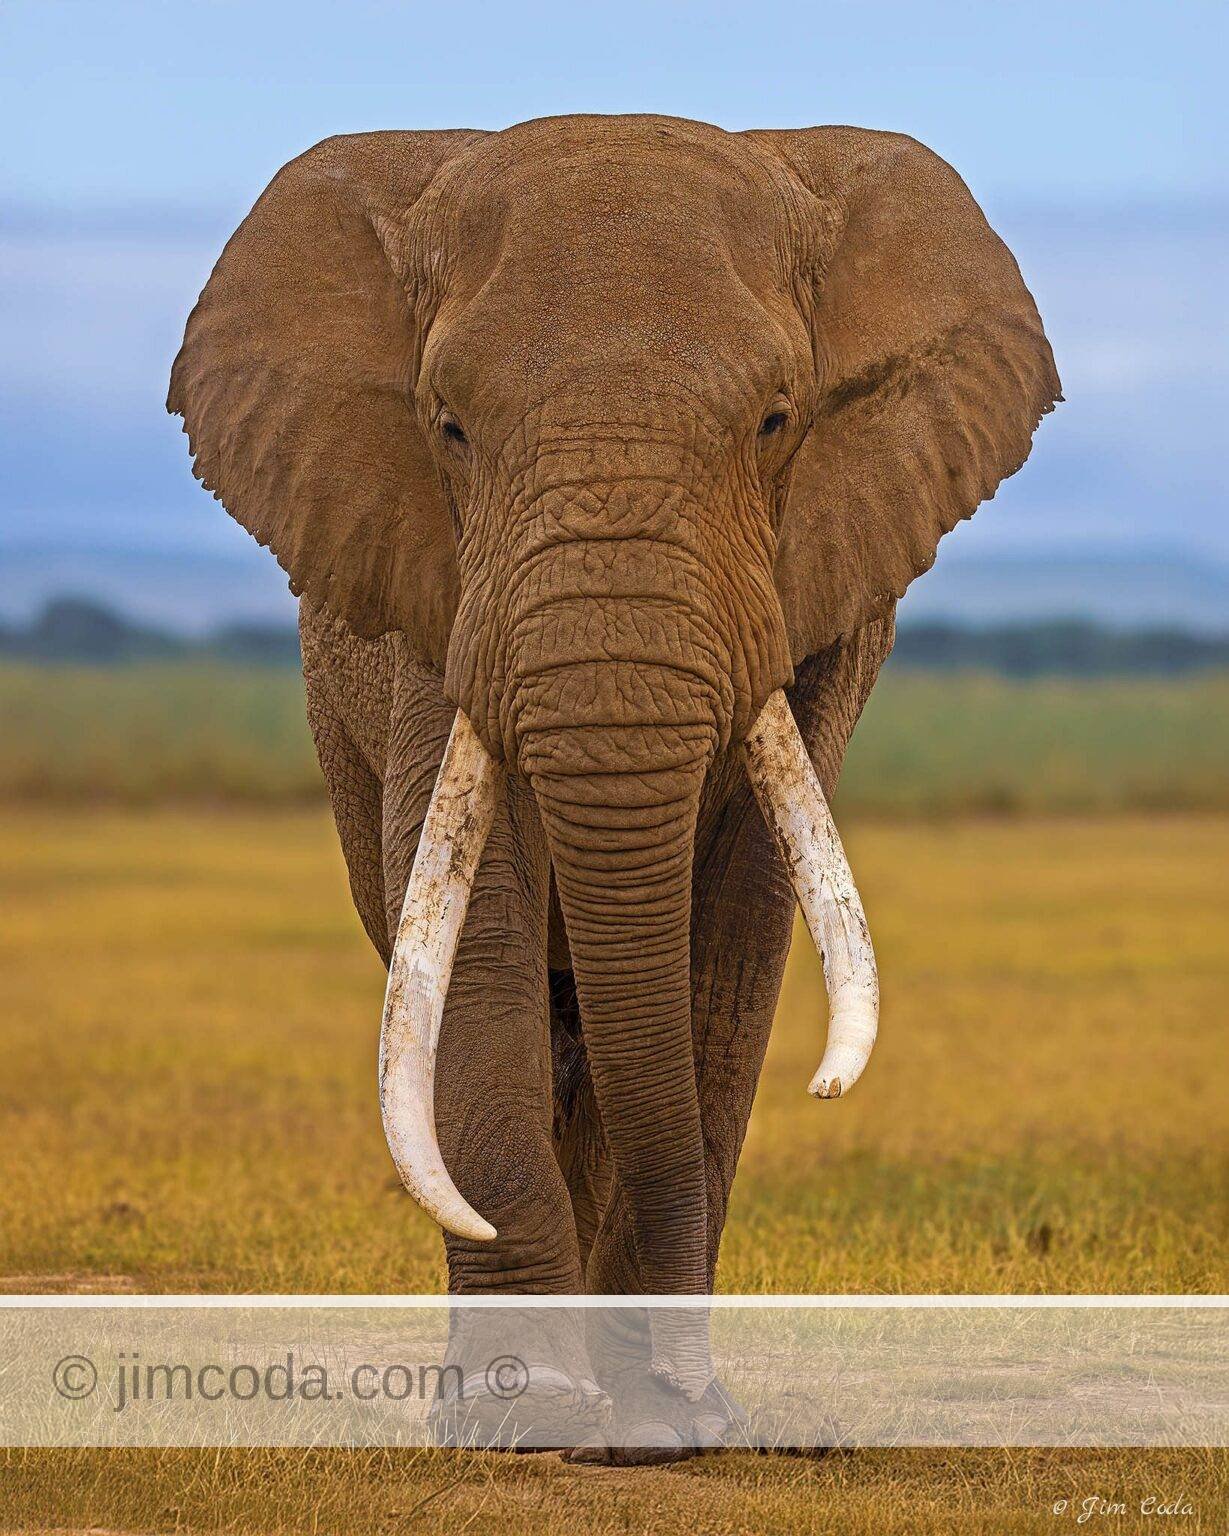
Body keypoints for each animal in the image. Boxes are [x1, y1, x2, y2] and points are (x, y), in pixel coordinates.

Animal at [169, 113, 1058, 1451]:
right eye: (447, 426)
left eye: (776, 419)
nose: (698, 1407)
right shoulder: (439, 585)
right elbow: (481, 928)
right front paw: (529, 1421)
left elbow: (730, 933)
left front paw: (665, 1426)